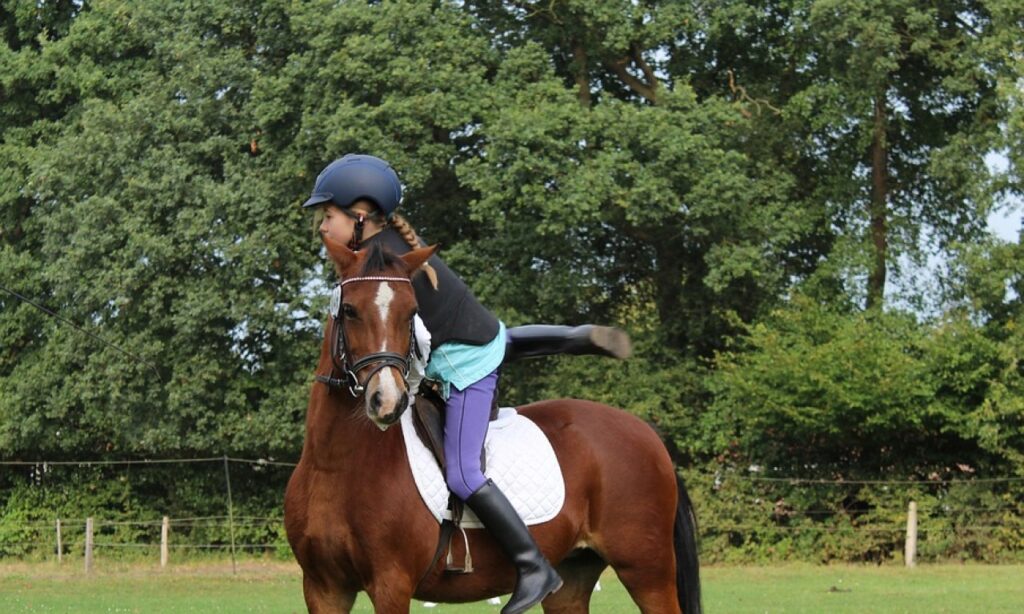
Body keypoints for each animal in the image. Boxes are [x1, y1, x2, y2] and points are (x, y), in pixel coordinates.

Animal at [288, 236, 704, 614]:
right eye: (351, 311)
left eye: (411, 314)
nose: (388, 401)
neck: (338, 465)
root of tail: (646, 433)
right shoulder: (323, 588)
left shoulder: (391, 584)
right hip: (573, 577)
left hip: (645, 569)